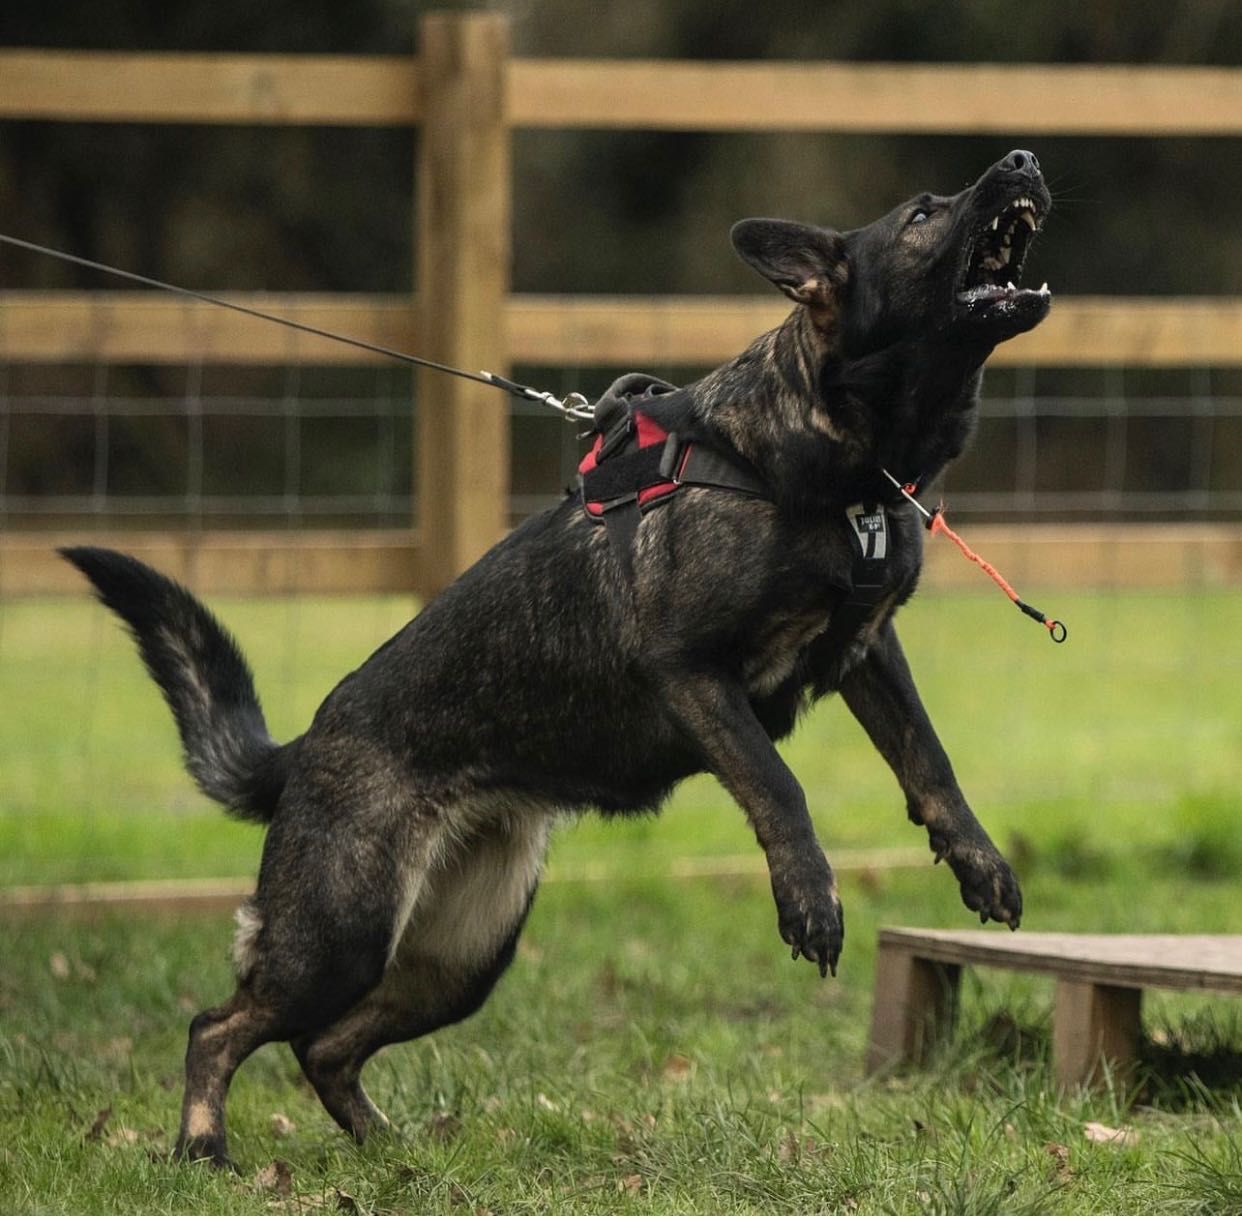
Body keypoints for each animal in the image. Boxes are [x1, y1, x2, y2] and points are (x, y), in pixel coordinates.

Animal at [63, 145, 1053, 1162]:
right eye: (922, 214)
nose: (1022, 157)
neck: (838, 457)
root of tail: (302, 749)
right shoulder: (692, 672)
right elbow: (780, 786)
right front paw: (809, 897)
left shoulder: (867, 647)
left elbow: (929, 761)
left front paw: (977, 861)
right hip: (339, 934)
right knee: (219, 1024)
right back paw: (203, 1146)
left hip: (463, 955)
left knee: (322, 1047)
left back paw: (391, 1148)